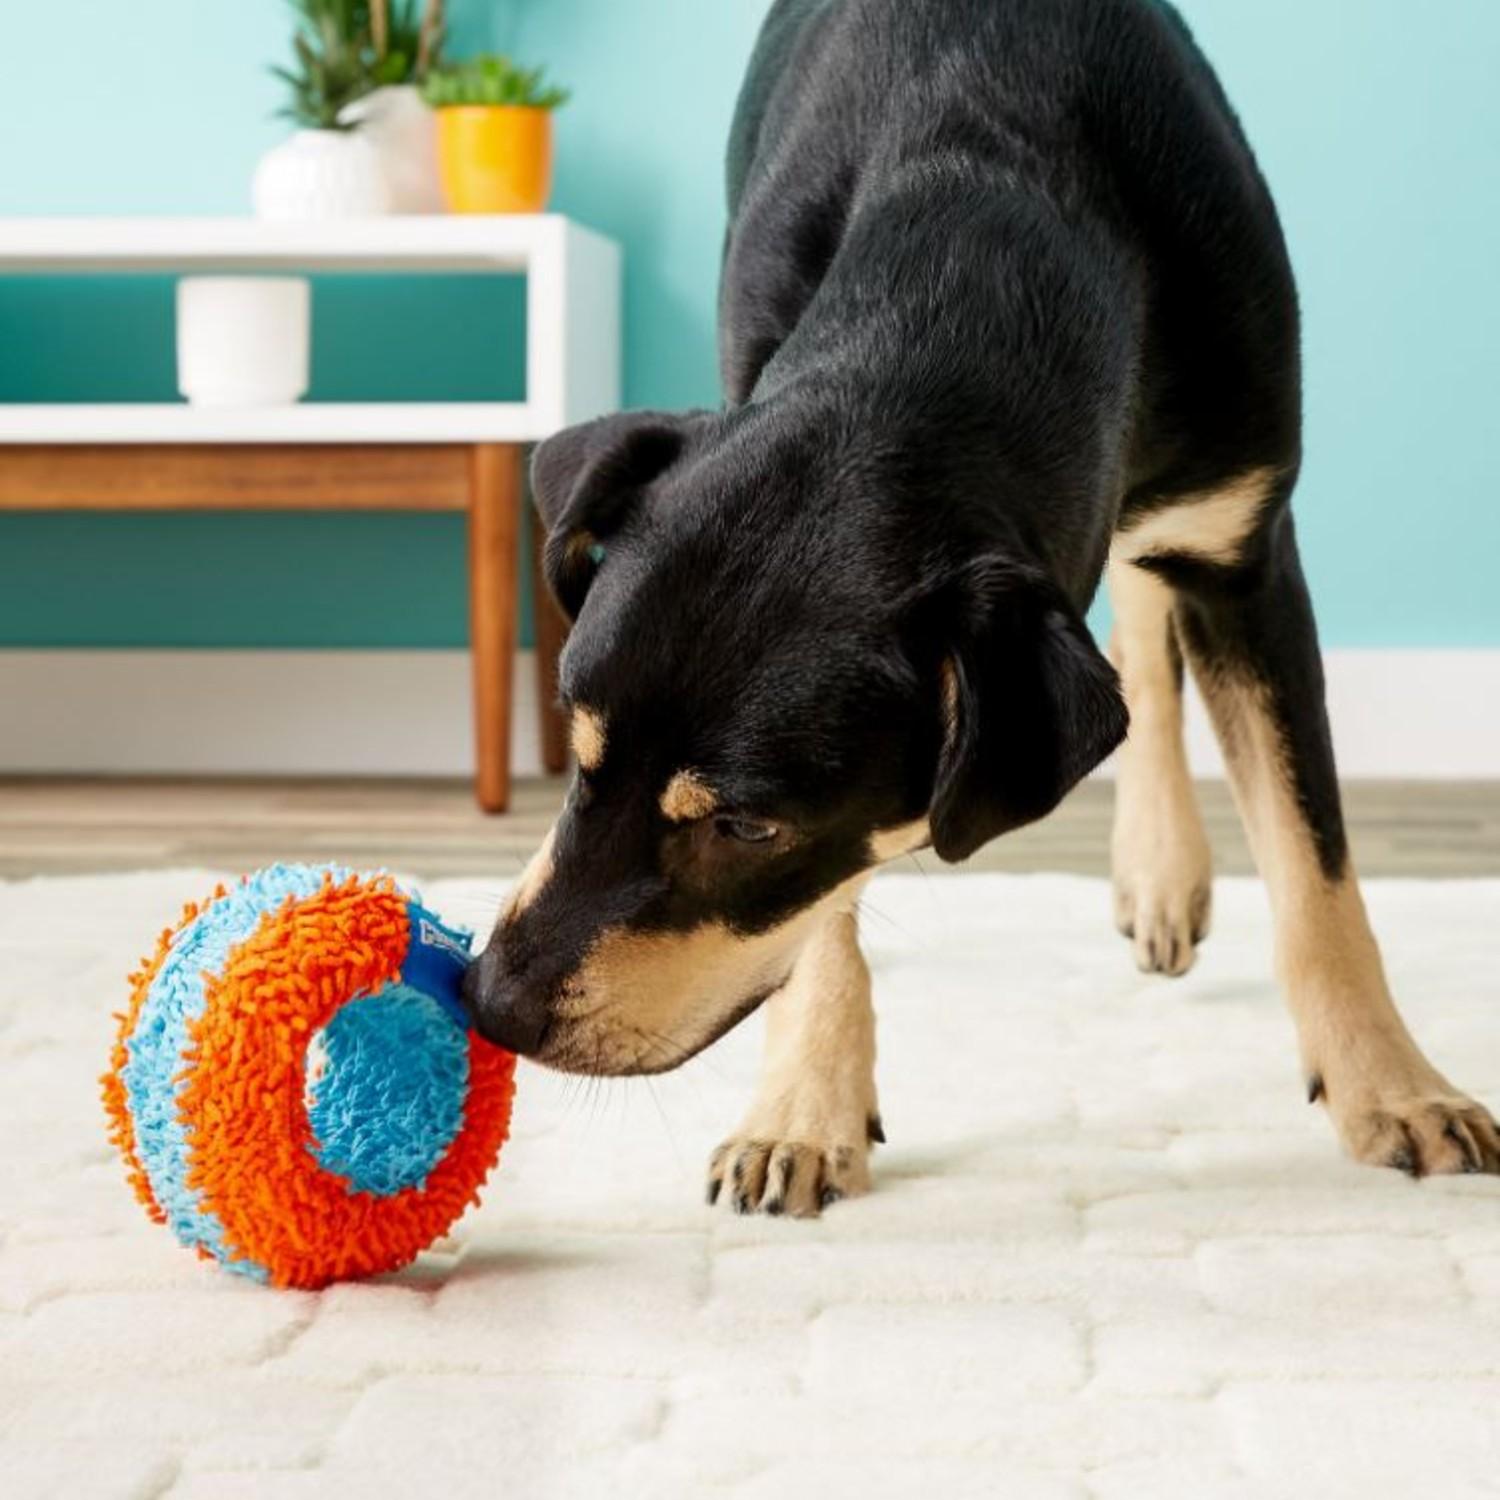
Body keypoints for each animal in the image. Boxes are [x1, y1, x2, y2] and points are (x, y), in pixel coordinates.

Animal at [459, 0, 1500, 1212]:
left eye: (744, 828)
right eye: (575, 750)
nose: (492, 1006)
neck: (975, 232)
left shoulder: (1247, 550)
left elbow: (1314, 861)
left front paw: (1396, 1089)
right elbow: (826, 911)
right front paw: (801, 1109)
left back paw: (1161, 869)